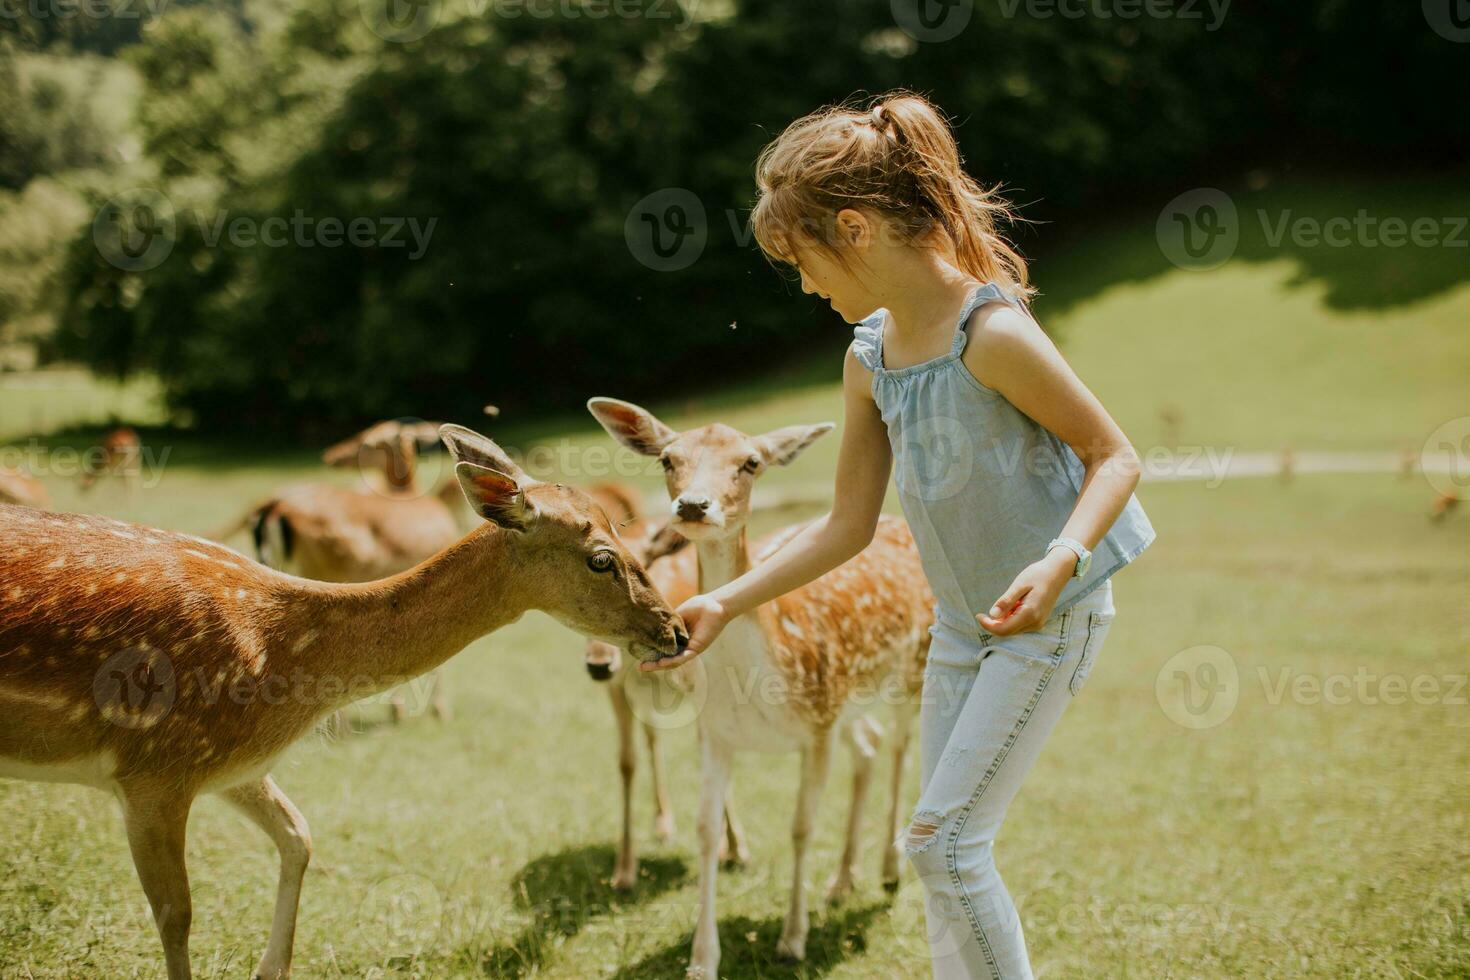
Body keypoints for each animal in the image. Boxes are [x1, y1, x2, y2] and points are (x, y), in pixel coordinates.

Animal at [0, 426, 687, 980]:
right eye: (601, 557)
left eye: (625, 529)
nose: (676, 629)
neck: (276, 661)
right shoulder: (151, 769)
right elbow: (176, 912)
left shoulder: (230, 766)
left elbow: (300, 836)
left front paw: (269, 967)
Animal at [585, 396, 929, 975]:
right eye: (668, 459)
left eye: (751, 462)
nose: (693, 506)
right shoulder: (718, 734)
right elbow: (705, 831)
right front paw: (703, 959)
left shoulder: (817, 726)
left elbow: (800, 827)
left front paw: (792, 939)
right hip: (852, 700)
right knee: (870, 745)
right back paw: (842, 881)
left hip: (915, 667)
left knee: (902, 748)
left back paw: (888, 868)